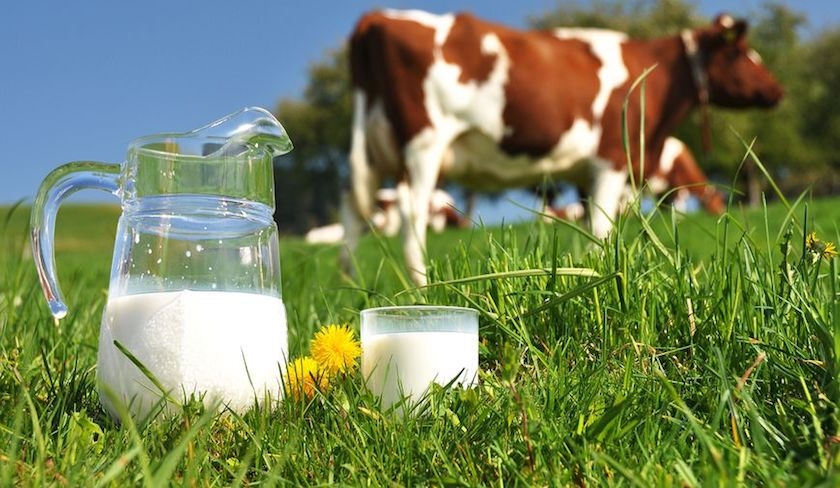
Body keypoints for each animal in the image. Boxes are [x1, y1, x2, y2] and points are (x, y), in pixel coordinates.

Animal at [342, 9, 780, 284]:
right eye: (740, 53)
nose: (778, 91)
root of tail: (376, 17)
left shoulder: (587, 173)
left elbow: (590, 225)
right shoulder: (611, 159)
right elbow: (603, 227)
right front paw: (605, 275)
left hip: (373, 150)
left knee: (353, 212)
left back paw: (349, 286)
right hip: (424, 145)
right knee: (411, 214)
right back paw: (421, 288)